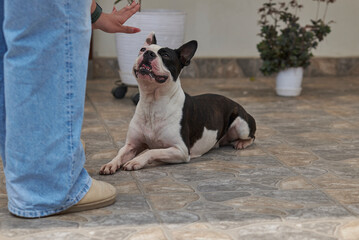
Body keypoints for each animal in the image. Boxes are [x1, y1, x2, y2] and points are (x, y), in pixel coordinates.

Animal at [98, 32, 256, 174]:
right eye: (142, 49)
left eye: (166, 55)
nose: (148, 53)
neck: (152, 102)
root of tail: (236, 103)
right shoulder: (131, 145)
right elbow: (120, 153)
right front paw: (110, 164)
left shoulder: (181, 150)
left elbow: (151, 151)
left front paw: (136, 161)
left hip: (241, 124)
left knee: (251, 137)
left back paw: (242, 143)